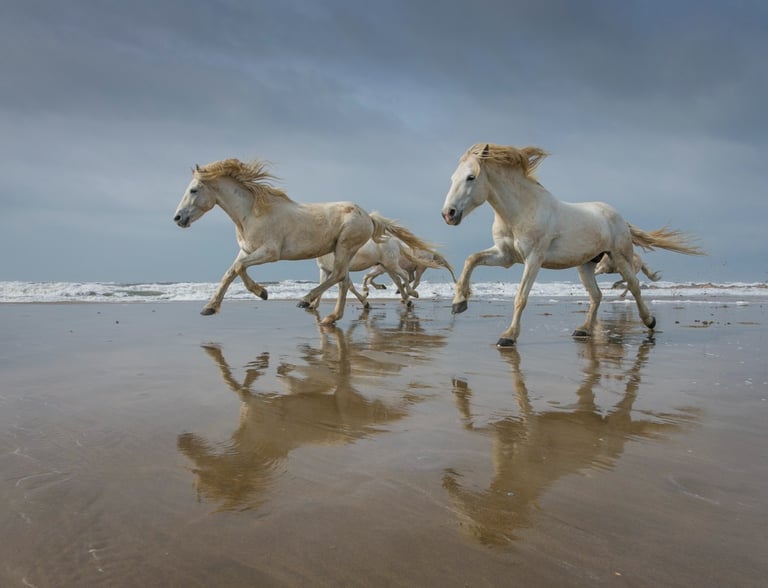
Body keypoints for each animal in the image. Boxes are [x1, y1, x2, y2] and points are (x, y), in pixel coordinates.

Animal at [173, 158, 415, 325]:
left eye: (193, 190)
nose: (178, 218)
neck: (252, 214)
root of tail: (368, 216)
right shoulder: (246, 250)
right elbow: (230, 272)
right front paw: (210, 307)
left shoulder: (270, 253)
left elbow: (239, 268)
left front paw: (262, 293)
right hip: (344, 252)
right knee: (344, 281)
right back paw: (331, 317)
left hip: (345, 247)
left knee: (340, 277)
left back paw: (306, 300)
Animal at [441, 143, 705, 346]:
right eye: (452, 178)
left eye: (471, 177)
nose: (448, 214)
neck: (520, 211)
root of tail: (618, 216)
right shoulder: (505, 256)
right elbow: (471, 259)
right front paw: (458, 304)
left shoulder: (533, 259)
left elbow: (521, 297)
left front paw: (508, 337)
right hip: (586, 265)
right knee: (597, 295)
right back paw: (583, 330)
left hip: (619, 257)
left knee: (634, 285)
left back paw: (649, 322)